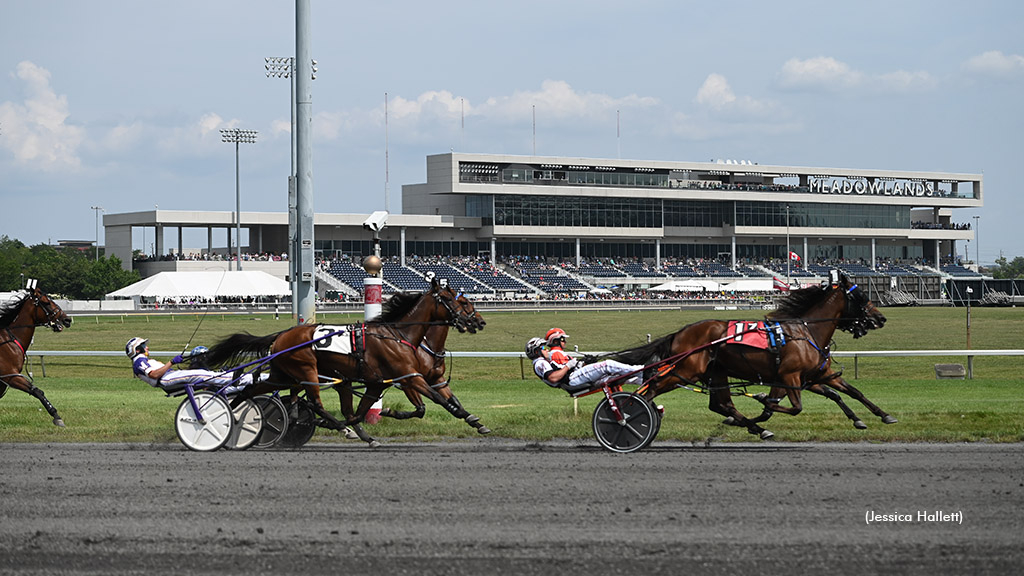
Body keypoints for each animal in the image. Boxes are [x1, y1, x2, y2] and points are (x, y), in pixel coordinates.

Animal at [0, 282, 73, 426]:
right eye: (46, 302)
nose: (67, 319)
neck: (9, 339)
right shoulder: (10, 376)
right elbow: (37, 391)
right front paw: (56, 416)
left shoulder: (4, 379)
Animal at [205, 276, 485, 446]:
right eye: (456, 300)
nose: (478, 321)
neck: (399, 336)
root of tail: (282, 335)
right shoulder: (409, 377)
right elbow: (436, 401)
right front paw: (467, 416)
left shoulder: (382, 382)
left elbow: (362, 411)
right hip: (307, 371)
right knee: (315, 403)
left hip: (283, 376)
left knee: (254, 391)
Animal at [610, 270, 892, 436]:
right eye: (862, 295)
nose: (881, 318)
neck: (806, 331)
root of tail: (680, 333)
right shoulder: (789, 377)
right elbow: (790, 407)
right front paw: (760, 401)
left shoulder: (813, 376)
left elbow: (849, 392)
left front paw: (879, 415)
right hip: (686, 370)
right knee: (653, 388)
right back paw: (629, 417)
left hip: (715, 371)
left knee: (720, 404)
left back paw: (752, 426)